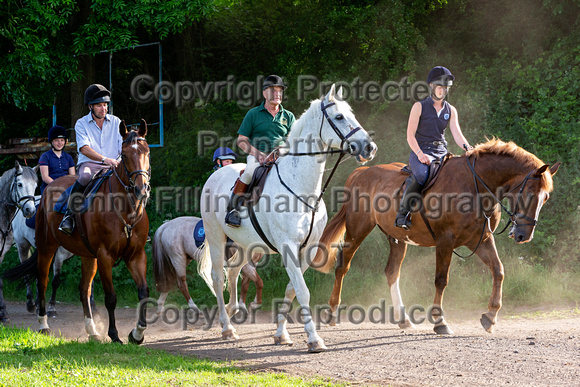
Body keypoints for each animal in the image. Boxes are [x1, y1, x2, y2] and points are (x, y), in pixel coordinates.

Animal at [2, 119, 151, 344]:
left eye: (147, 152)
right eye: (124, 155)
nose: (141, 190)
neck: (126, 211)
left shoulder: (136, 255)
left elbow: (143, 293)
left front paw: (137, 333)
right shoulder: (105, 256)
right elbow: (111, 297)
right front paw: (114, 335)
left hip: (87, 255)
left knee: (83, 289)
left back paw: (92, 330)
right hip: (45, 248)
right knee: (42, 282)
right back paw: (43, 324)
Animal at [202, 86, 378, 354]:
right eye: (338, 117)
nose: (370, 148)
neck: (302, 190)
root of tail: (216, 175)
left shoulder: (308, 250)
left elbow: (292, 289)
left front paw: (281, 334)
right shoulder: (288, 247)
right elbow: (302, 292)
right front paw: (314, 339)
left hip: (245, 245)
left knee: (233, 272)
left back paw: (232, 313)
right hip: (215, 237)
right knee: (218, 277)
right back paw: (226, 327)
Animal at [312, 140, 560, 336]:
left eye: (546, 197)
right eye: (530, 193)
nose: (523, 235)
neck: (476, 187)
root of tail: (362, 172)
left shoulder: (480, 240)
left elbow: (498, 271)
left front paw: (490, 317)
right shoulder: (445, 241)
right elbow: (441, 280)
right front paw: (440, 322)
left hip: (397, 238)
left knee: (392, 272)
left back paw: (403, 319)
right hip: (359, 229)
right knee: (343, 265)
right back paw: (332, 313)